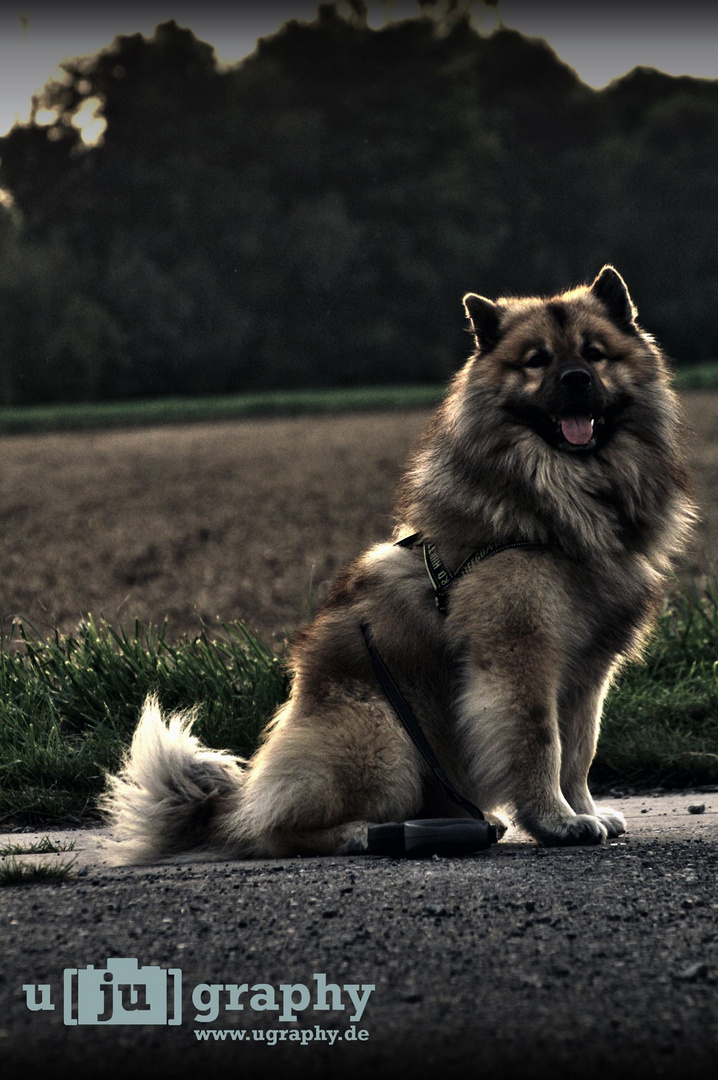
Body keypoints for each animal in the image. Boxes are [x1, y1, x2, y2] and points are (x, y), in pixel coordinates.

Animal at [99, 265, 691, 864]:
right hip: (384, 737)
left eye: (595, 354)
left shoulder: (587, 671)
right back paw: (364, 833)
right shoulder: (519, 658)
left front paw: (585, 811)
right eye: (536, 361)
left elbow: (579, 751)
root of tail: (235, 804)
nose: (574, 379)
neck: (562, 503)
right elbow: (539, 744)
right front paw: (556, 822)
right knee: (275, 829)